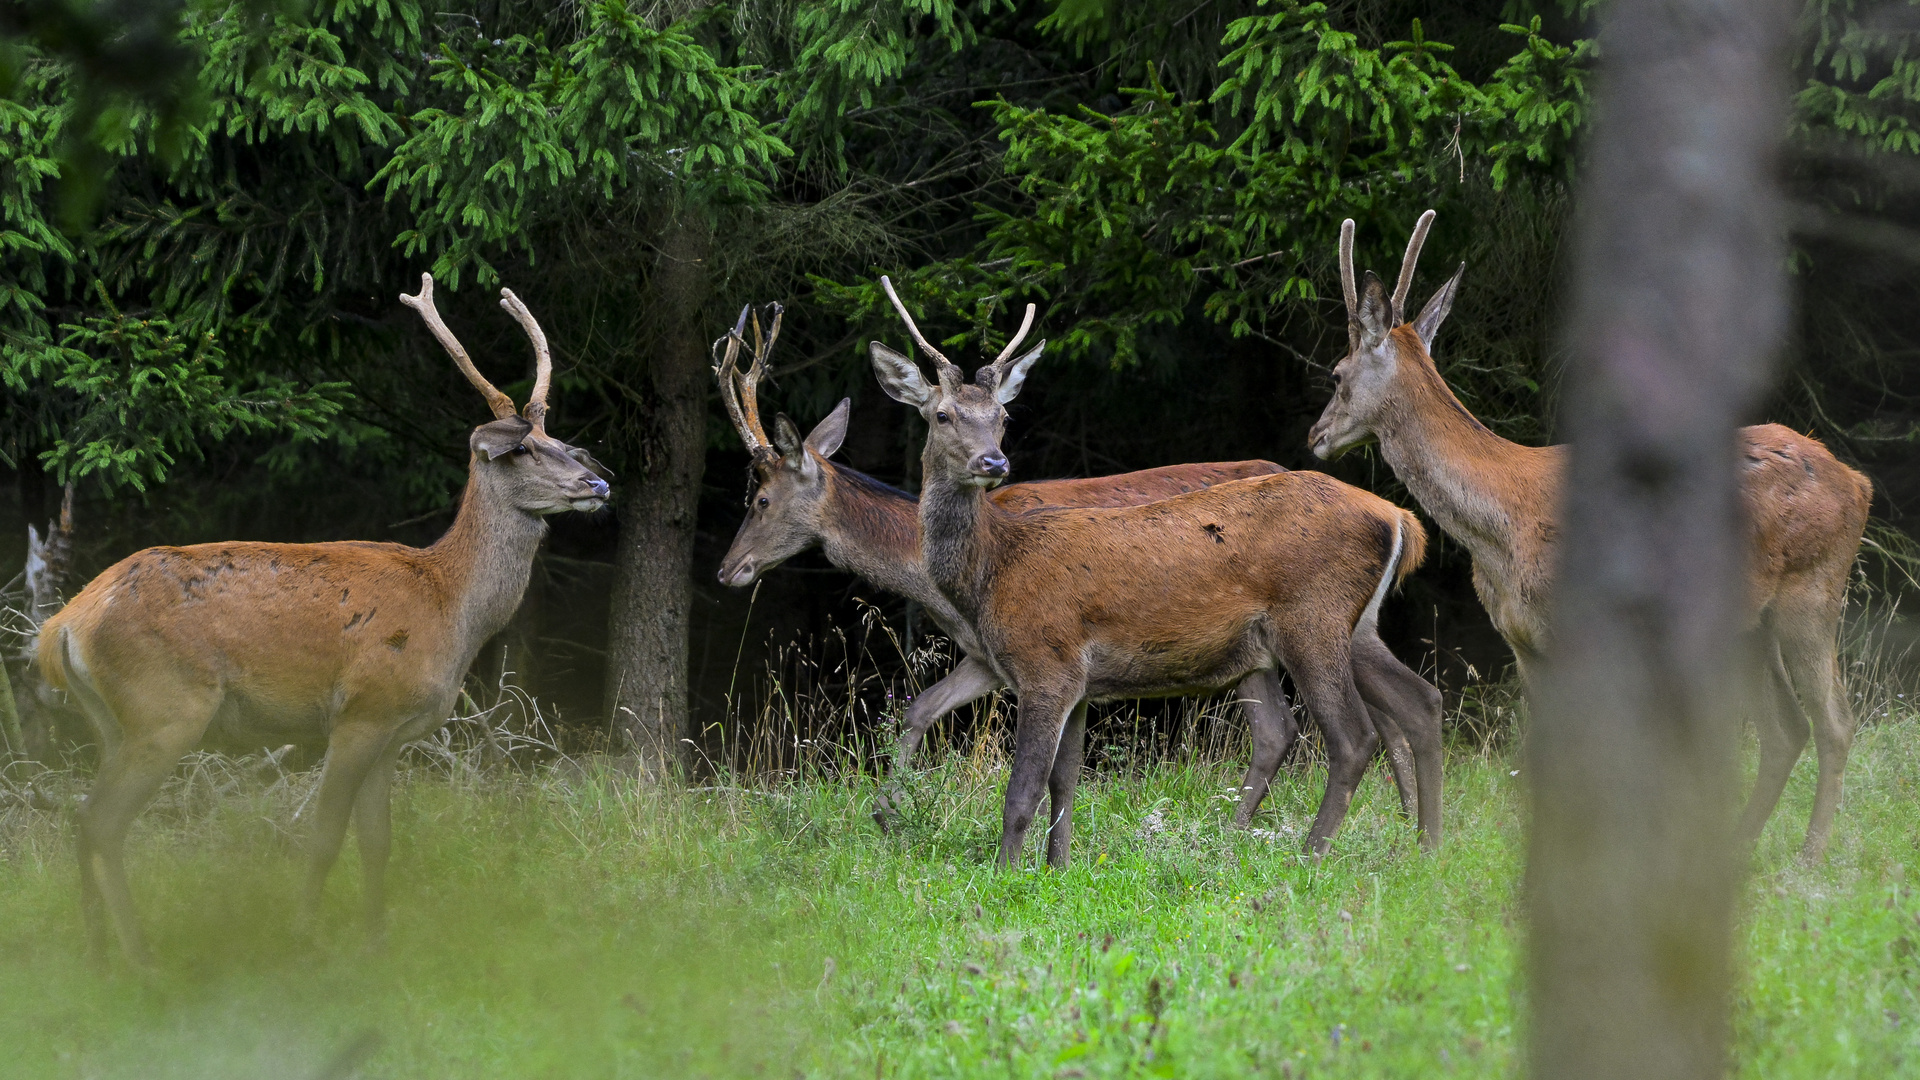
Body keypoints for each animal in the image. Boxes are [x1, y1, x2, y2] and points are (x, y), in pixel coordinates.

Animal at [39, 272, 606, 960]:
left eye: (565, 444)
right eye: (522, 449)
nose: (597, 484)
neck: (450, 605)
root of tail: (64, 625)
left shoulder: (394, 731)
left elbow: (378, 841)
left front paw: (376, 942)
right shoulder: (361, 710)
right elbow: (326, 834)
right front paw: (305, 936)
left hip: (111, 720)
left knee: (85, 816)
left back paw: (101, 952)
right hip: (164, 708)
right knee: (101, 821)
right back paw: (137, 956)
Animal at [871, 282, 1443, 860]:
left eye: (1003, 419)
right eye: (942, 415)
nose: (993, 462)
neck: (994, 572)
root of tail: (1399, 517)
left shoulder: (1047, 663)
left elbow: (1023, 792)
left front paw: (1007, 872)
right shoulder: (1079, 683)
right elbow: (1064, 784)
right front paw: (1057, 867)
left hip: (1312, 616)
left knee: (1352, 736)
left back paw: (1311, 853)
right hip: (1353, 625)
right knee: (1421, 700)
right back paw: (1429, 843)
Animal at [1305, 214, 1873, 860]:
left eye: (1337, 373)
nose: (1315, 435)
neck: (1501, 522)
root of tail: (1857, 482)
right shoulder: (1523, 643)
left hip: (1815, 590)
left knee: (1834, 721)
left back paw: (1811, 852)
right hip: (1750, 624)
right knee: (1785, 728)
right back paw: (1738, 846)